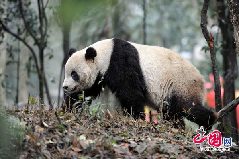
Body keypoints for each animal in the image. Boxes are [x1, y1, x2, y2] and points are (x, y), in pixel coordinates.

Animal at [62, 38, 218, 130]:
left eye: (74, 74)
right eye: (67, 72)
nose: (65, 87)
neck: (105, 53)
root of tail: (201, 78)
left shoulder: (121, 62)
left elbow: (130, 92)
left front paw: (138, 117)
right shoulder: (100, 74)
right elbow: (87, 91)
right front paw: (68, 108)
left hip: (182, 84)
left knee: (187, 107)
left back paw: (209, 122)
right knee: (173, 112)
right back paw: (176, 126)